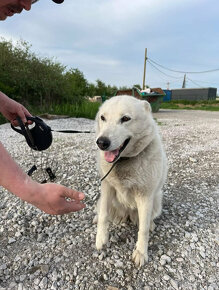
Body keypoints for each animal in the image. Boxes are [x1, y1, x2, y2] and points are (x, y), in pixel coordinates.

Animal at [94, 95, 168, 268]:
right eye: (103, 118)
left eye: (125, 118)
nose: (102, 142)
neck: (123, 161)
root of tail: (126, 213)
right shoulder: (106, 187)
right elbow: (104, 216)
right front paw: (101, 239)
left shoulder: (145, 197)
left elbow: (143, 229)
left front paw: (141, 253)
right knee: (102, 211)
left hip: (156, 201)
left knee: (147, 220)